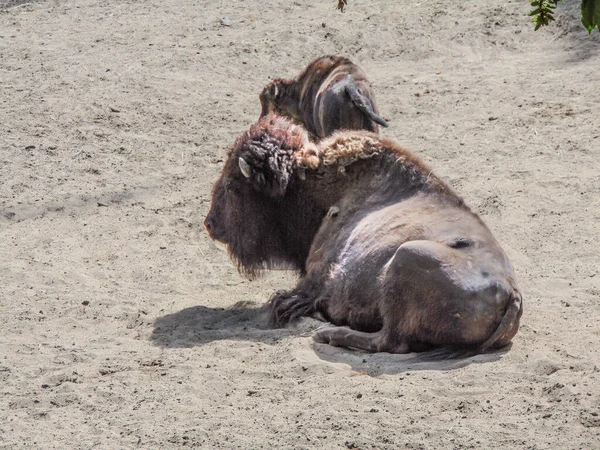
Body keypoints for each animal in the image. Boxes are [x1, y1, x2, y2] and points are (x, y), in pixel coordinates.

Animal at [204, 116, 524, 356]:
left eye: (232, 184)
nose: (210, 224)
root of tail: (511, 293)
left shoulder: (315, 277)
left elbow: (287, 300)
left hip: (407, 257)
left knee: (389, 342)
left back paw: (329, 333)